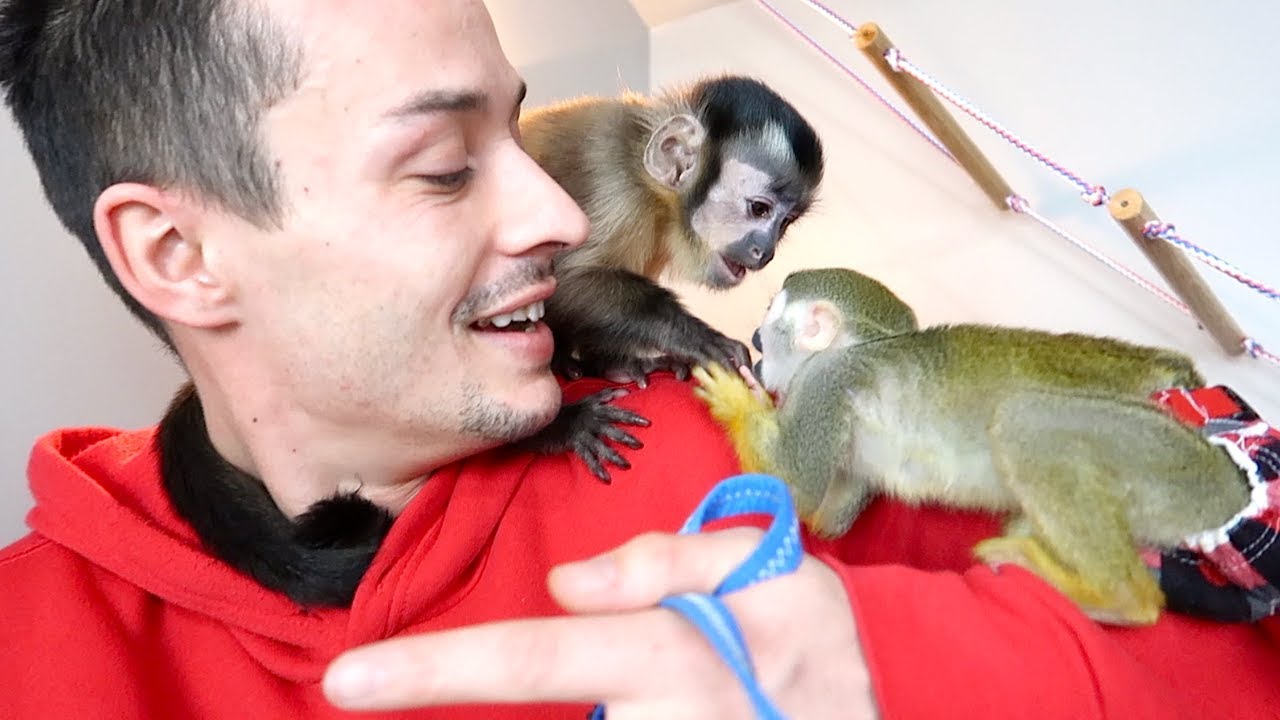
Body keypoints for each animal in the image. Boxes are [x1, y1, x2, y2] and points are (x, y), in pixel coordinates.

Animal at [691, 267, 1254, 625]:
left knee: (1027, 420)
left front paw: (736, 396)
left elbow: (793, 485)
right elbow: (823, 517)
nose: (755, 340)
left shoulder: (828, 381)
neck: (857, 345)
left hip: (1177, 467)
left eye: (765, 330)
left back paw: (1119, 599)